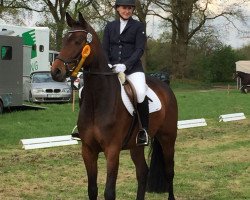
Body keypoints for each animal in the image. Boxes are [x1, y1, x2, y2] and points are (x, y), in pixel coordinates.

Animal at [50, 12, 178, 200]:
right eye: (65, 39)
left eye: (78, 41)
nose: (56, 71)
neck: (98, 101)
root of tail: (165, 87)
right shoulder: (88, 150)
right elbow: (92, 189)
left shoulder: (112, 150)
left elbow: (109, 192)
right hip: (136, 146)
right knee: (143, 172)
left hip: (167, 138)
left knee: (169, 172)